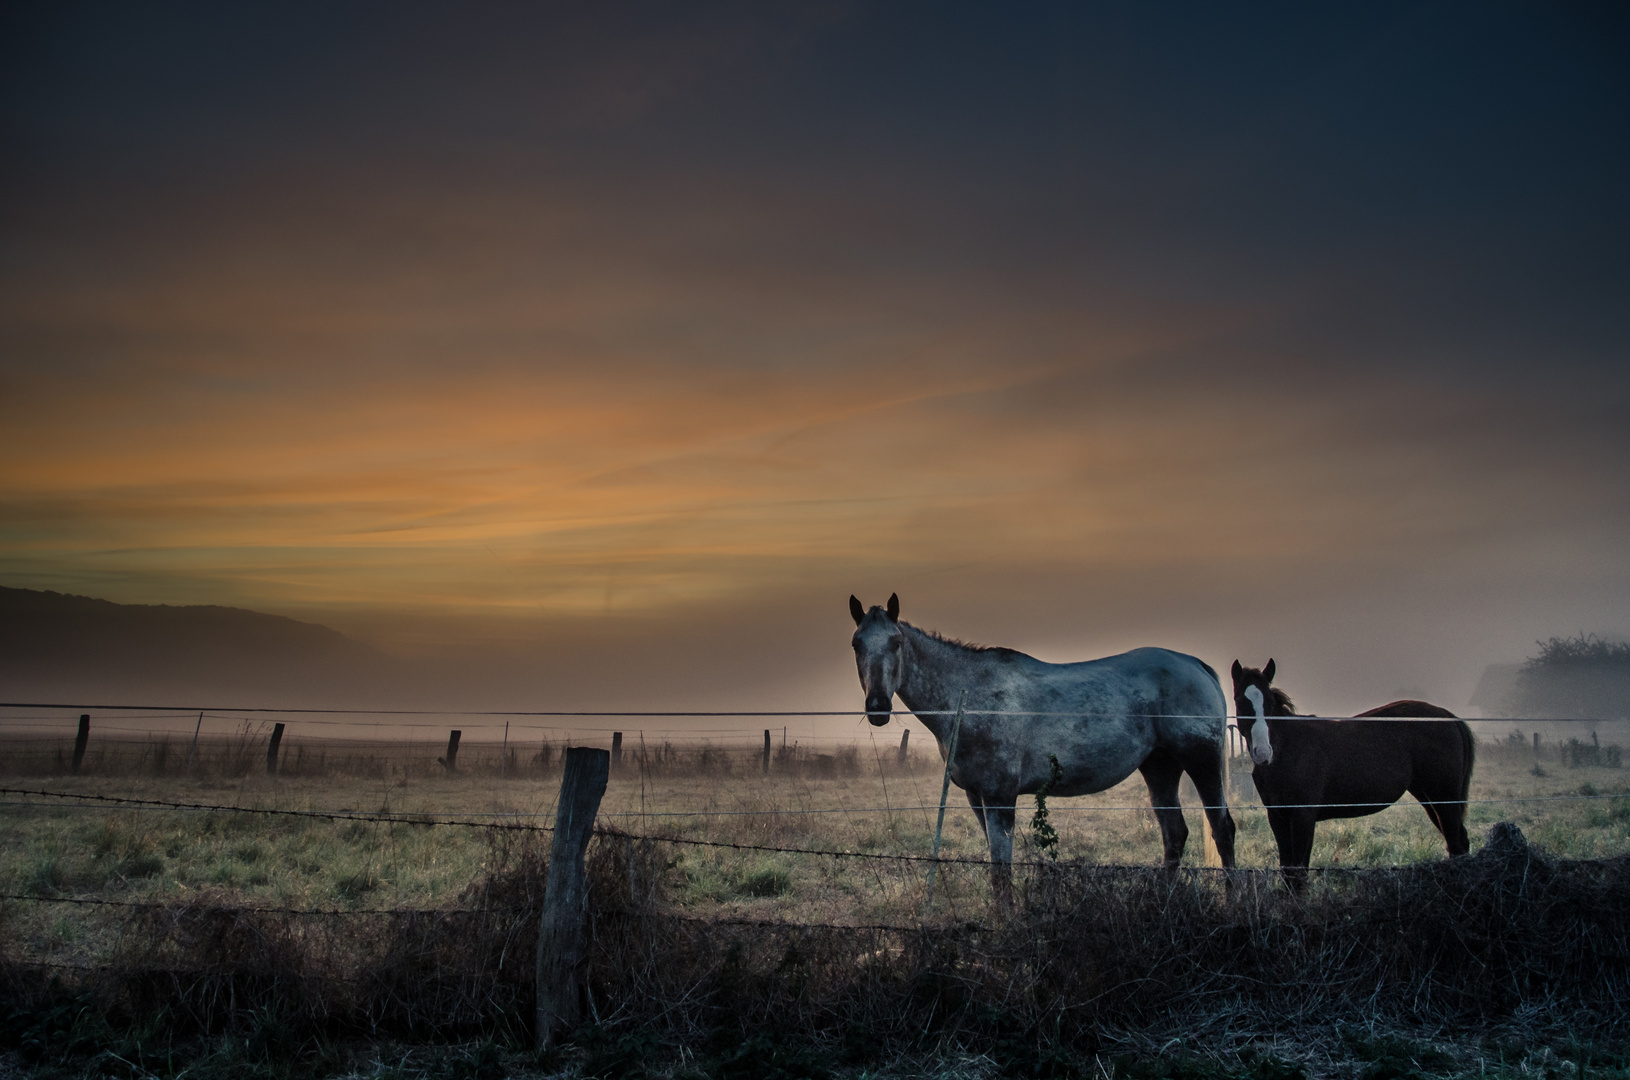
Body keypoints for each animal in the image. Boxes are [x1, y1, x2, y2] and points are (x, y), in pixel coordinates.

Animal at [854, 596, 1232, 899]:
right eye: (857, 644)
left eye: (896, 642)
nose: (877, 707)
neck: (968, 698)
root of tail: (1197, 666)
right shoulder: (976, 797)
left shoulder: (1000, 798)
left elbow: (1001, 872)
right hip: (1159, 767)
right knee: (1174, 835)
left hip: (1201, 762)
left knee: (1222, 828)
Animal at [1225, 658, 1480, 886]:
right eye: (1240, 702)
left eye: (1269, 703)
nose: (1262, 752)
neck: (1287, 750)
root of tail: (1450, 718)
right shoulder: (1278, 817)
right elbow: (1288, 873)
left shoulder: (1303, 817)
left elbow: (1299, 875)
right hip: (1429, 798)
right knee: (1458, 842)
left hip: (1444, 798)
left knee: (1456, 844)